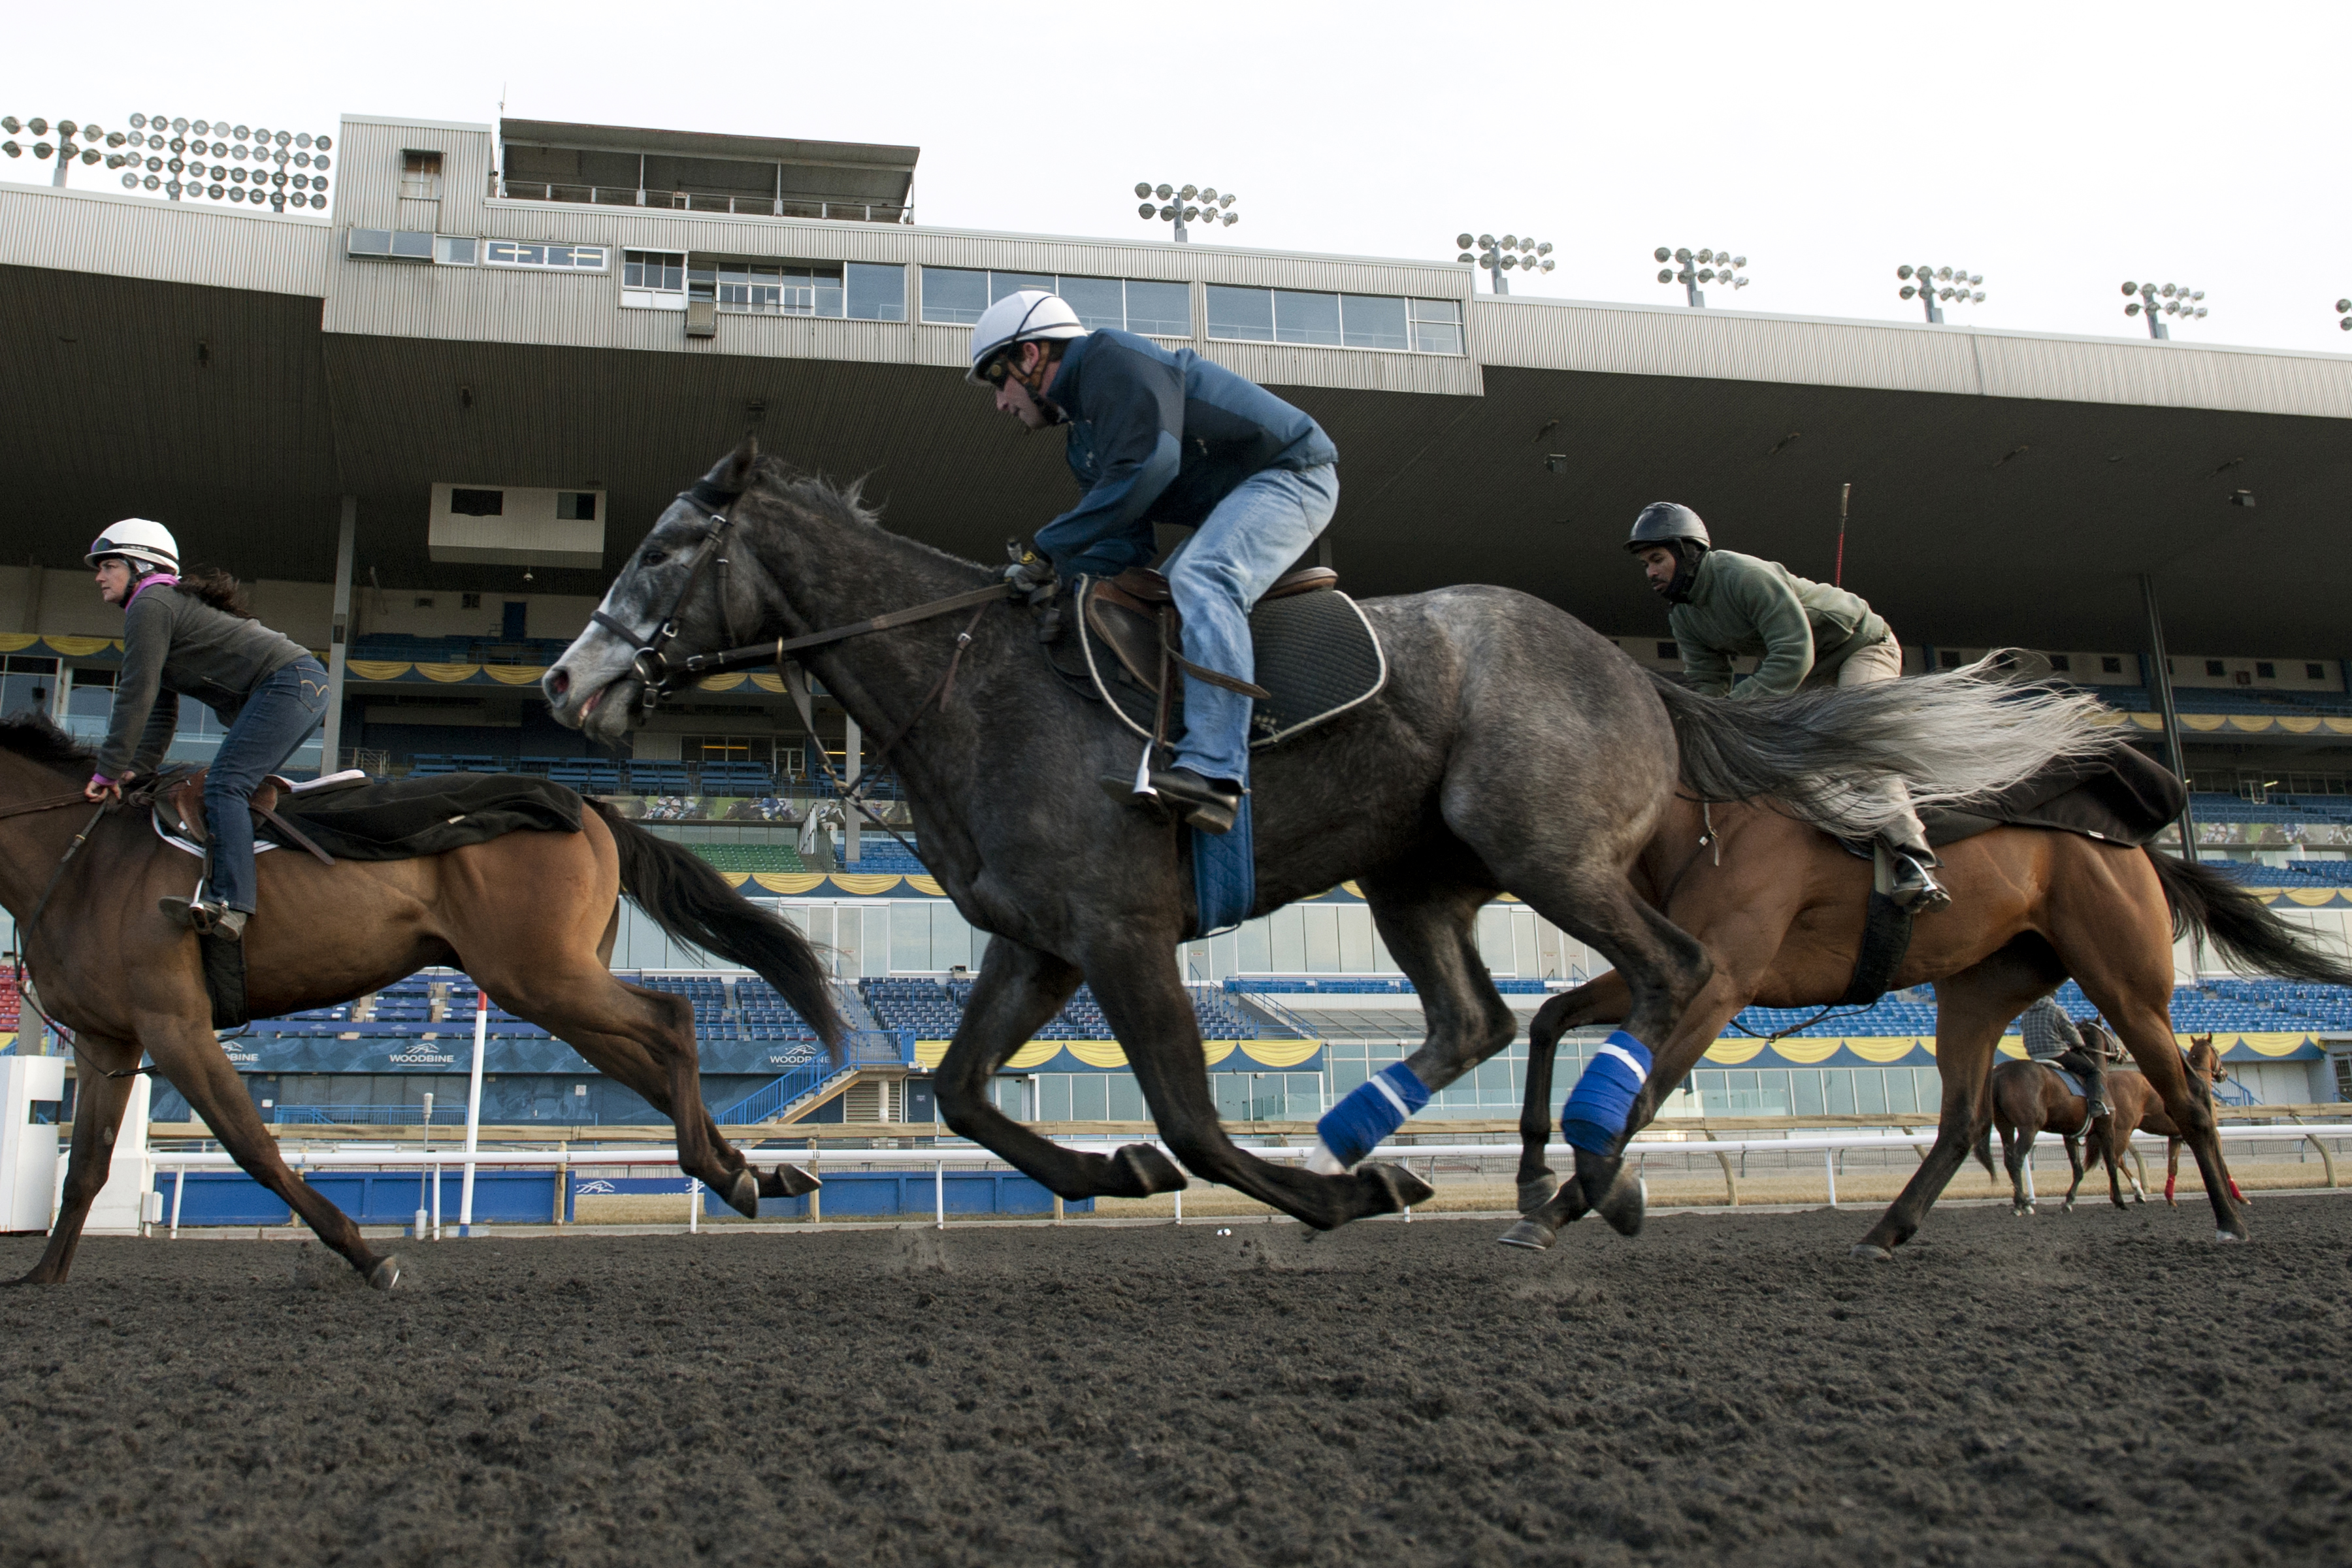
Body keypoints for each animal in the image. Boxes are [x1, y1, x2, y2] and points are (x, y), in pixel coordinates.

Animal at [0, 715, 843, 1288]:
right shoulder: (109, 1039)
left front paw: (366, 1252)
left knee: (673, 1020)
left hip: (542, 975)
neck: (87, 862)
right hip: (548, 986)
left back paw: (726, 1168)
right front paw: (43, 1276)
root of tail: (590, 806)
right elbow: (87, 1163)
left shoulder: (173, 1023)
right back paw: (752, 1172)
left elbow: (252, 1145)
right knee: (652, 1062)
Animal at [542, 439, 2114, 1232]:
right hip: (1415, 876)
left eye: (667, 550)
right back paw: (1423, 1135)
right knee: (1484, 1015)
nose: (564, 683)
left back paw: (1589, 1165)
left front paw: (1325, 1194)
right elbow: (962, 1095)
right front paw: (1119, 1171)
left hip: (1546, 853)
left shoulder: (1122, 933)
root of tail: (1642, 673)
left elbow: (1187, 1110)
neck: (973, 684)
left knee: (1682, 975)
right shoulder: (1041, 944)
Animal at [1507, 794, 2352, 1253]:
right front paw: (1537, 1178)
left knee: (2187, 1101)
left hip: (2126, 982)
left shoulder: (1717, 983)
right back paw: (1887, 1229)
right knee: (1962, 1120)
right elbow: (1549, 1018)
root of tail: (2136, 846)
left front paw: (1573, 1202)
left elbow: (1638, 1099)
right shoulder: (1670, 972)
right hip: (1978, 990)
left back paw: (2230, 1221)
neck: (1701, 822)